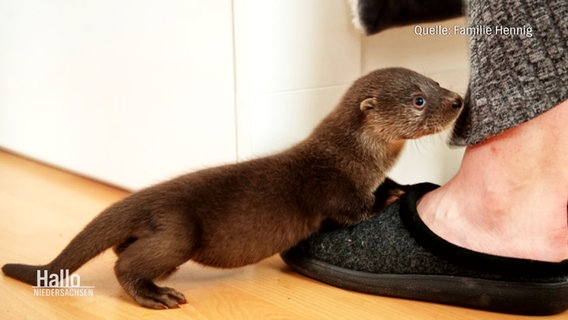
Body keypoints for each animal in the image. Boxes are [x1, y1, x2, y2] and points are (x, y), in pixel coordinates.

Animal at [3, 67, 462, 308]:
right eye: (419, 100)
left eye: (436, 82)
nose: (458, 99)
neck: (355, 157)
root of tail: (144, 197)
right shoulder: (338, 190)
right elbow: (355, 212)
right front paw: (392, 195)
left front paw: (402, 183)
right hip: (177, 232)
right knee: (125, 265)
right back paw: (157, 295)